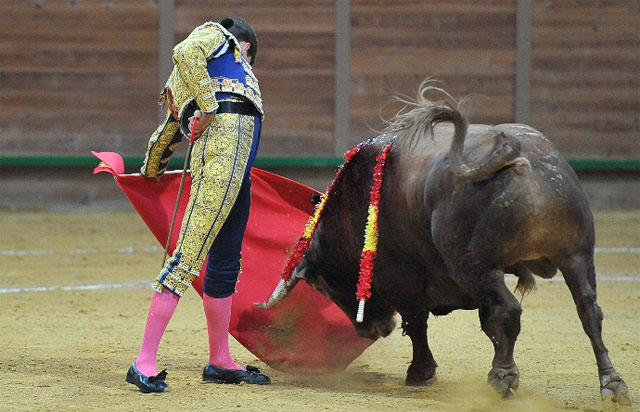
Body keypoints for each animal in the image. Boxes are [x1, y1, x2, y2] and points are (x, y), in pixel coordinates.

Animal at [256, 87, 632, 406]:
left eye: (322, 285)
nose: (370, 330)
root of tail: (524, 160)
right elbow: (478, 323)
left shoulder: (404, 278)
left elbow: (416, 322)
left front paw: (420, 372)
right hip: (576, 256)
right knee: (589, 312)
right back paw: (612, 385)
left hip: (476, 265)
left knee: (509, 310)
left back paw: (502, 379)